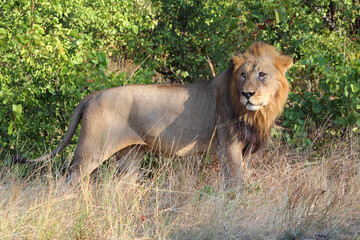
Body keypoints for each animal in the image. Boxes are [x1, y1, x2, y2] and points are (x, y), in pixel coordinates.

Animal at [14, 42, 292, 187]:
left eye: (262, 74)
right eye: (243, 75)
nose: (248, 94)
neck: (257, 113)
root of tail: (91, 95)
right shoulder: (229, 148)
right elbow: (236, 185)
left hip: (130, 157)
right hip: (89, 151)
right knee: (67, 182)